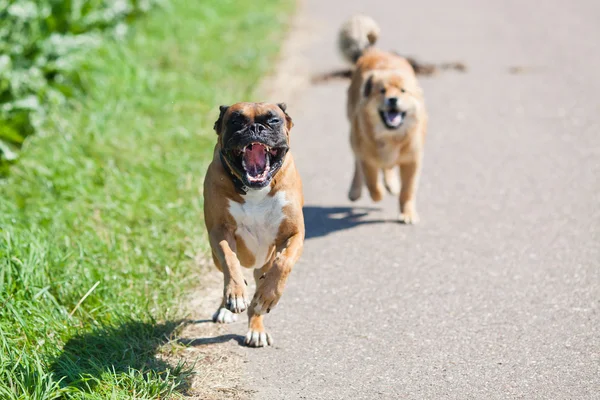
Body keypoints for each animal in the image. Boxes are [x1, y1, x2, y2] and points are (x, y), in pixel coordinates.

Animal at [203, 102, 304, 346]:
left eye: (273, 120)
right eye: (236, 121)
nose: (256, 128)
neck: (255, 190)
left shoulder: (294, 234)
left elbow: (283, 263)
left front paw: (267, 297)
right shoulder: (219, 231)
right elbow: (230, 261)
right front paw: (236, 294)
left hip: (263, 265)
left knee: (260, 289)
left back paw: (257, 327)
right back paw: (226, 308)